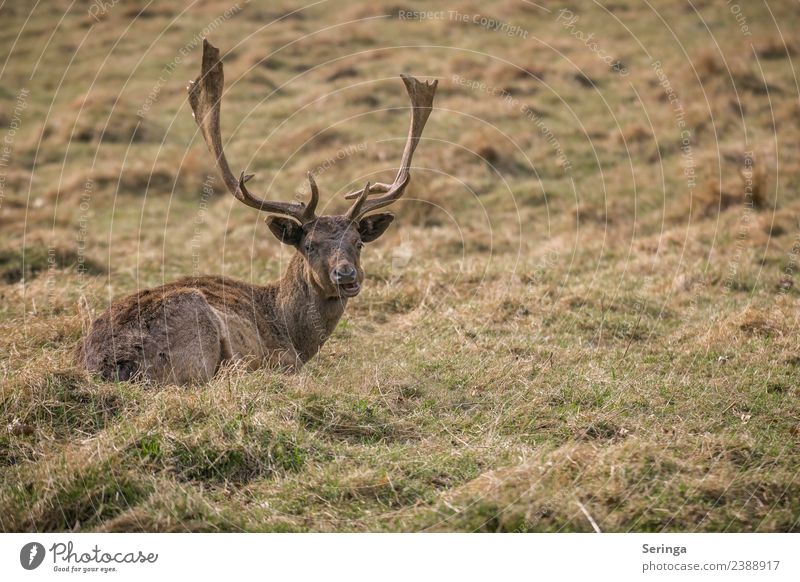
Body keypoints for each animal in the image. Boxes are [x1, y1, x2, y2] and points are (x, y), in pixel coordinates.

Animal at [76, 42, 438, 388]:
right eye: (309, 245)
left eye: (358, 242)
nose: (346, 276)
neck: (294, 333)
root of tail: (114, 364)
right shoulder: (285, 359)